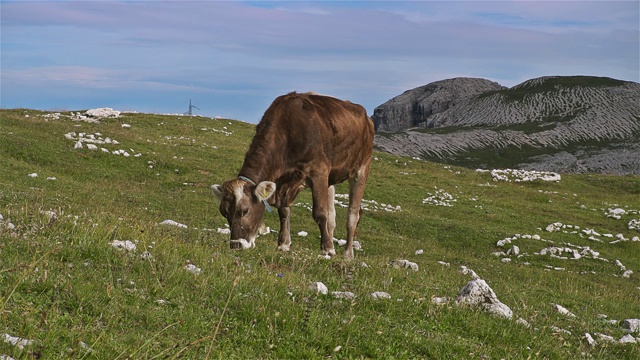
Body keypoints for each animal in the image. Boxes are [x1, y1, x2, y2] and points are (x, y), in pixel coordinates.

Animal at [211, 90, 376, 258]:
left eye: (245, 210)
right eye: (224, 212)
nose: (235, 245)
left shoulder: (319, 171)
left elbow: (320, 213)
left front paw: (327, 249)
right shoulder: (283, 182)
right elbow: (284, 211)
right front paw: (283, 244)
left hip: (362, 167)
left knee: (353, 215)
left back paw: (348, 253)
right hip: (331, 179)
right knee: (332, 217)